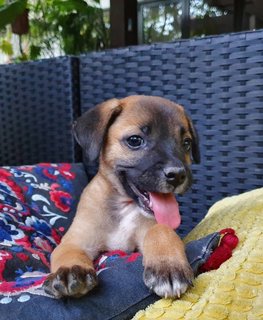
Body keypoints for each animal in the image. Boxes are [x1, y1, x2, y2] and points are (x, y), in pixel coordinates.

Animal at [43, 95, 200, 298]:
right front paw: (70, 271)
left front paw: (168, 267)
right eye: (135, 140)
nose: (178, 175)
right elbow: (68, 253)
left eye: (186, 143)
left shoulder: (154, 228)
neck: (123, 207)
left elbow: (161, 230)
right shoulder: (75, 240)